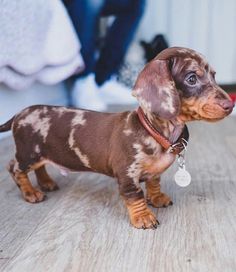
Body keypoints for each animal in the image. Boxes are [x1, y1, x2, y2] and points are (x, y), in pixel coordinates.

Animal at [0, 47, 233, 230]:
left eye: (214, 75)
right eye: (192, 78)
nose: (231, 105)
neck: (153, 131)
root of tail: (19, 114)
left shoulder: (154, 173)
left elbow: (154, 183)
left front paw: (157, 198)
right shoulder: (127, 175)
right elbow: (136, 196)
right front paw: (144, 217)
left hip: (40, 154)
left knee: (40, 167)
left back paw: (46, 183)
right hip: (28, 154)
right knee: (15, 168)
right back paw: (31, 192)